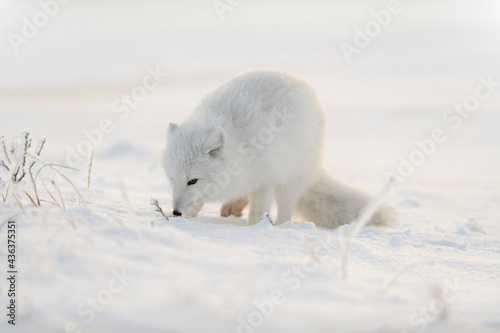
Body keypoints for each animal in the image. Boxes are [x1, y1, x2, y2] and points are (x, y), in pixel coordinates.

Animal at [164, 68, 394, 227]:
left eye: (193, 180)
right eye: (172, 178)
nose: (175, 212)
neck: (239, 144)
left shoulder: (264, 179)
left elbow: (258, 210)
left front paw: (253, 230)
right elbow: (198, 202)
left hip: (291, 178)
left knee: (286, 211)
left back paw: (281, 227)